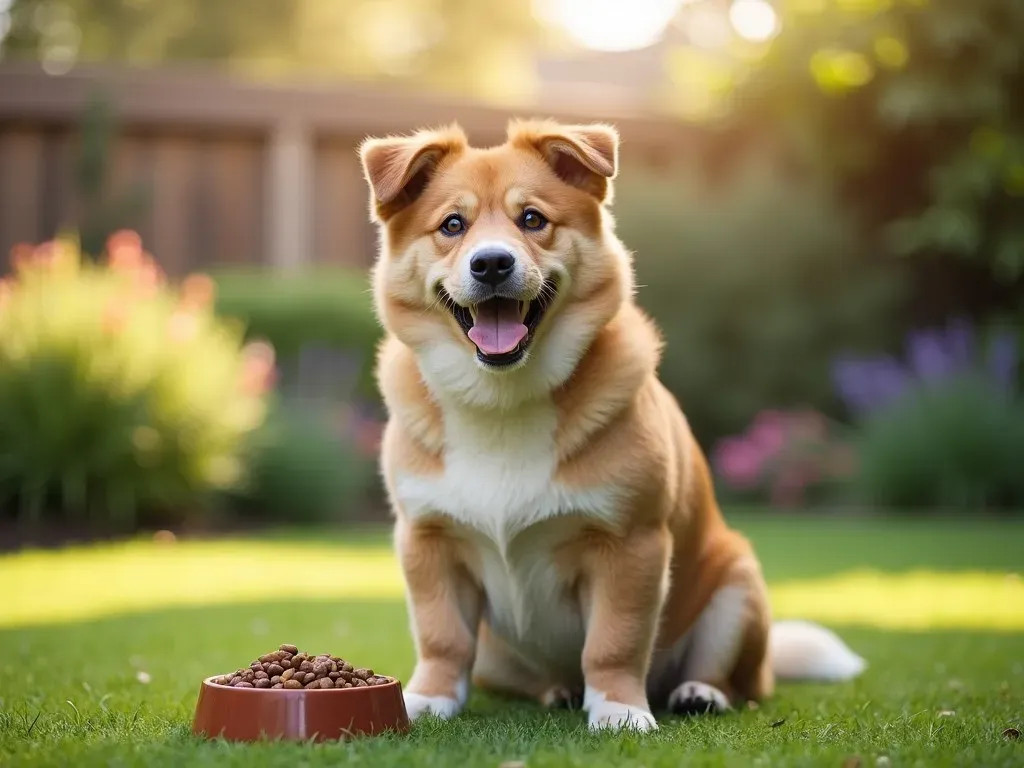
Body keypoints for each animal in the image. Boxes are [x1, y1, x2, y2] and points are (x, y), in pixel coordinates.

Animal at [358, 120, 864, 733]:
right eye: (452, 225)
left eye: (533, 219)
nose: (492, 264)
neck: (503, 400)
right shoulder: (428, 540)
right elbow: (440, 637)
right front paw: (430, 699)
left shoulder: (630, 544)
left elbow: (614, 641)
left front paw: (620, 709)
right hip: (498, 653)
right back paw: (555, 691)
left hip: (736, 589)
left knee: (732, 678)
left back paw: (698, 692)